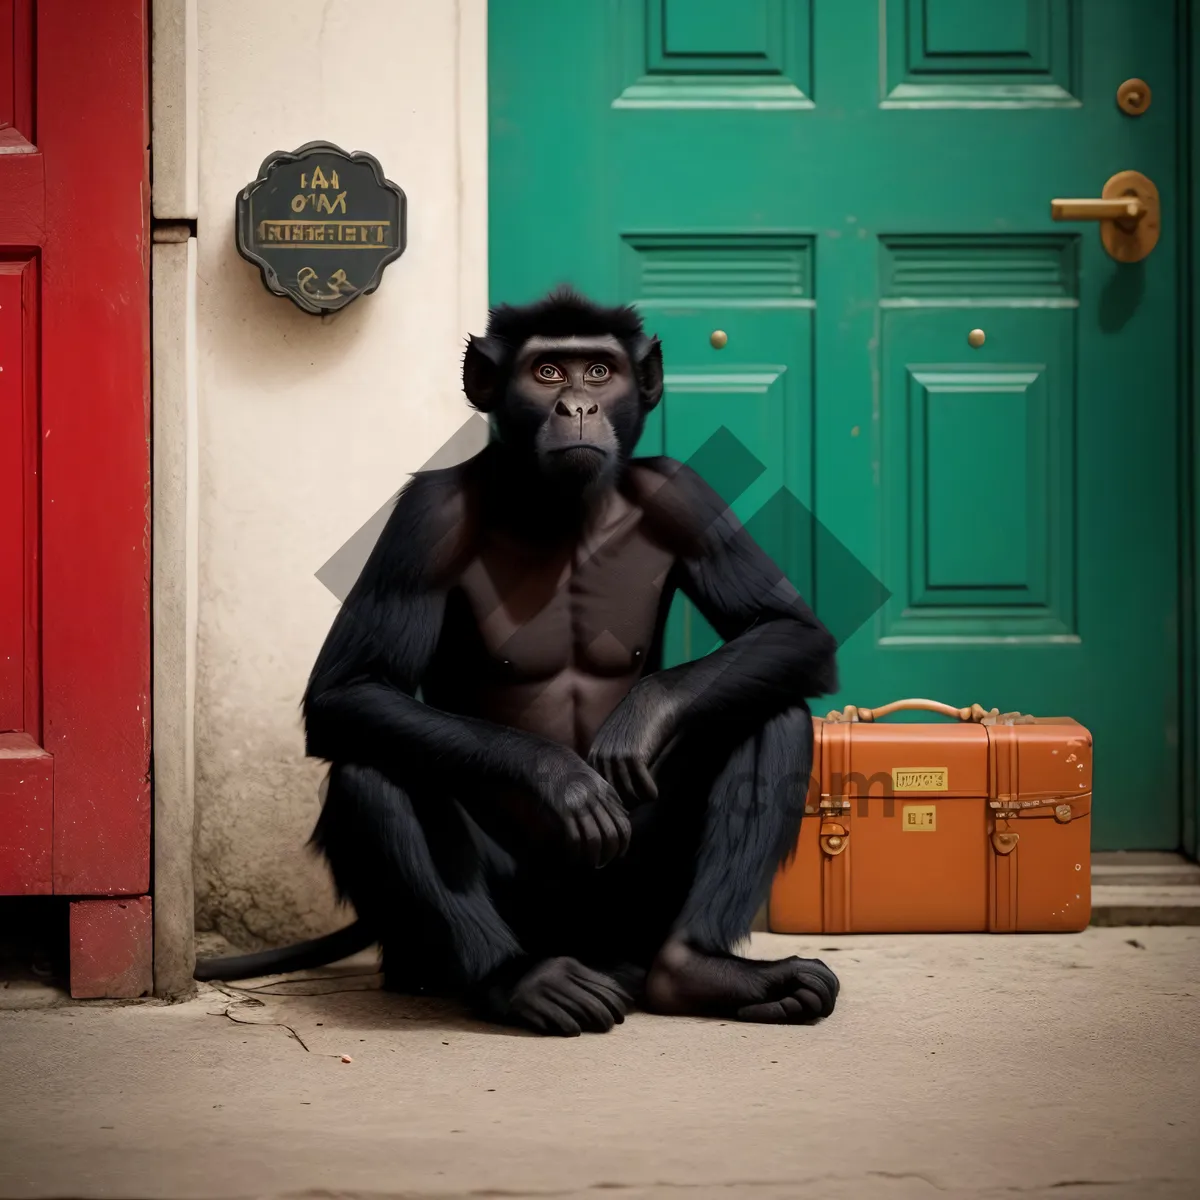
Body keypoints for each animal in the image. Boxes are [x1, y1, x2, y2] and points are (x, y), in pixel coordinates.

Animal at [196, 288, 840, 1032]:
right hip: (524, 912)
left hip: (629, 909)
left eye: (598, 371)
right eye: (547, 372)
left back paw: (697, 970)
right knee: (371, 770)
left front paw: (641, 718)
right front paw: (558, 776)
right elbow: (348, 690)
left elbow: (791, 630)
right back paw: (520, 980)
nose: (577, 406)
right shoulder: (427, 520)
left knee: (773, 712)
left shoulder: (683, 494)